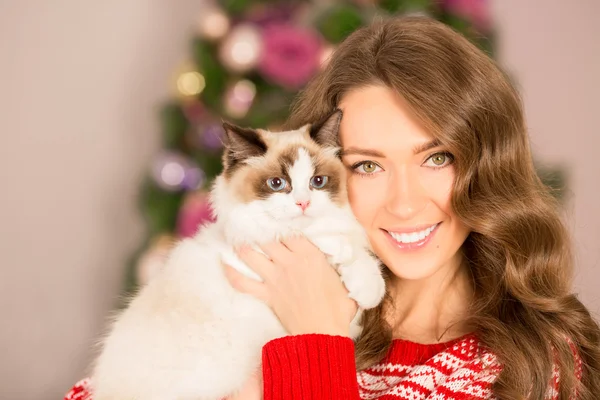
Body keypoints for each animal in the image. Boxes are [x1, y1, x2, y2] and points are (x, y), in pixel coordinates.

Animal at [91, 109, 386, 400]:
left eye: (318, 181)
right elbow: (314, 238)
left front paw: (367, 288)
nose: (303, 203)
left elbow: (360, 260)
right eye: (277, 183)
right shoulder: (253, 242)